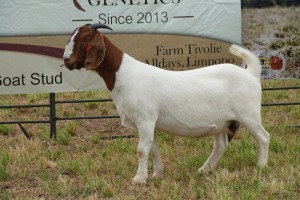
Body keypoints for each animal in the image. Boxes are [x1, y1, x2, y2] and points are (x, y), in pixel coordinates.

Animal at [62, 23, 270, 184]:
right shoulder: (150, 124)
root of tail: (251, 73)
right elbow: (153, 149)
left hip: (249, 114)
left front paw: (138, 179)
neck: (124, 75)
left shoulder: (145, 119)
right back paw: (204, 170)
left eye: (86, 38)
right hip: (222, 122)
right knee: (220, 146)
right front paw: (156, 175)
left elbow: (142, 150)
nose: (67, 60)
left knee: (264, 137)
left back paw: (261, 166)